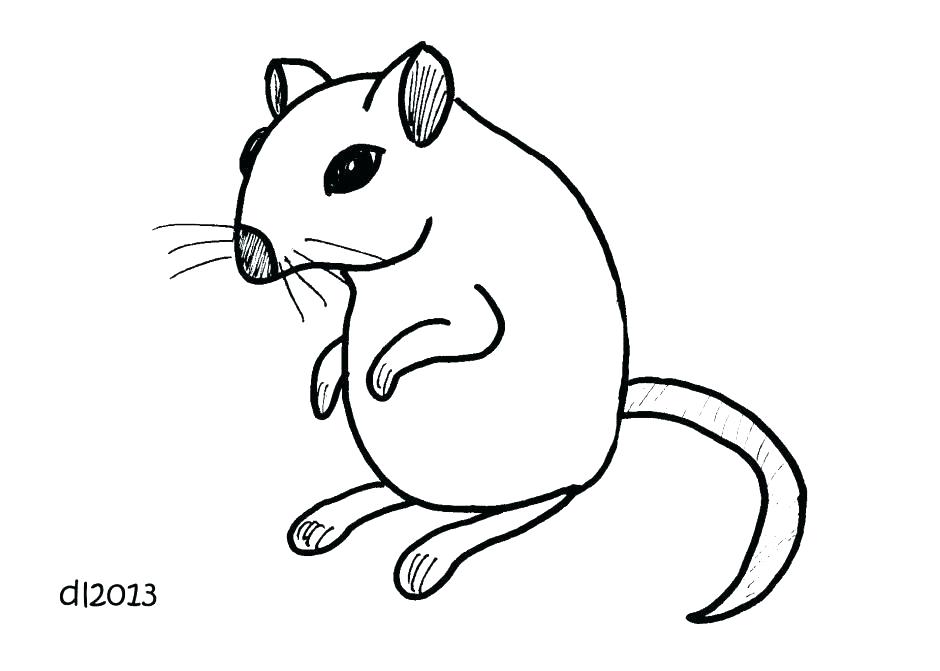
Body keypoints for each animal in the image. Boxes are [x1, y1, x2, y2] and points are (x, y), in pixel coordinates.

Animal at [228, 43, 806, 622]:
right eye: (250, 149)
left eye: (352, 167)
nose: (249, 255)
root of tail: (611, 427)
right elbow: (343, 342)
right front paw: (326, 385)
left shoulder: (475, 302)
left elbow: (468, 332)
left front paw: (380, 373)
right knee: (413, 496)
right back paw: (330, 518)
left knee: (531, 505)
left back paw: (431, 553)